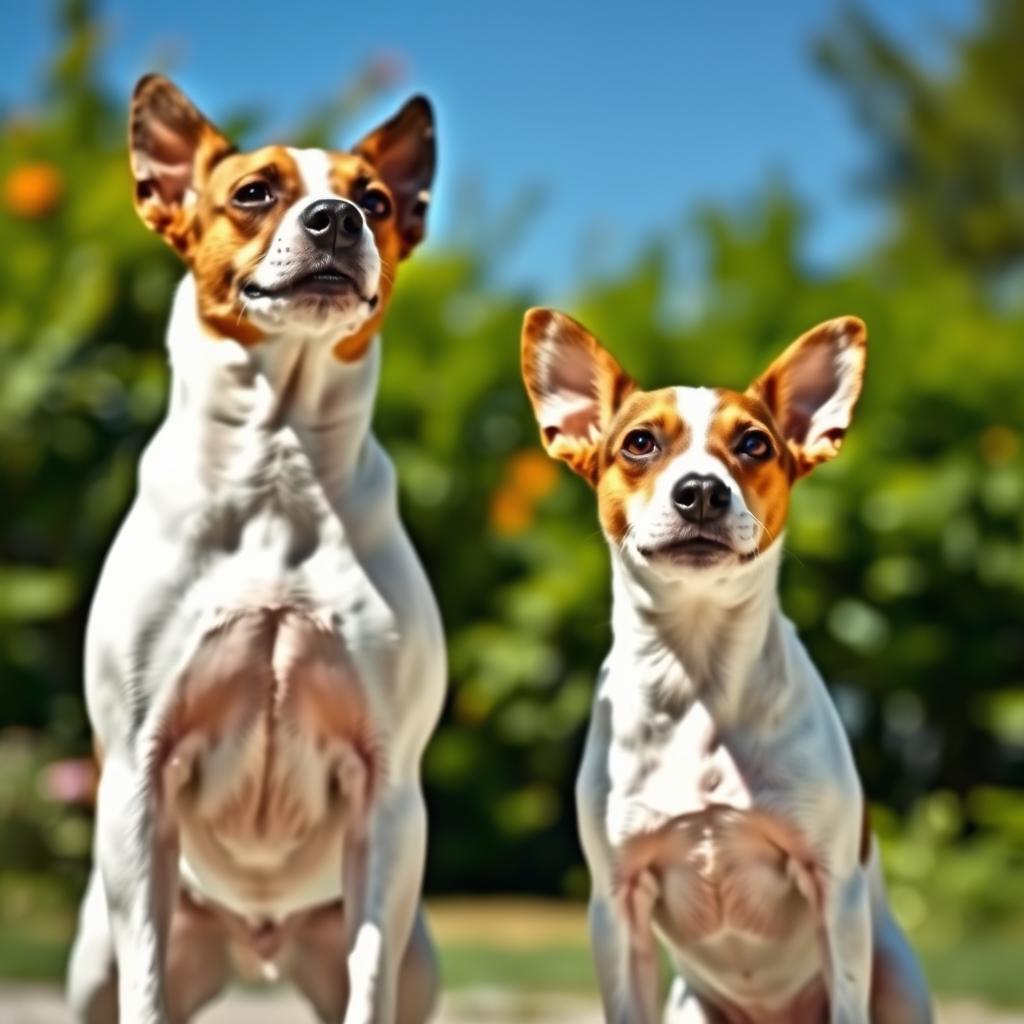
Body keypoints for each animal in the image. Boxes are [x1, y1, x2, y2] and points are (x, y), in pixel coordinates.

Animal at [66, 74, 446, 1024]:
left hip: (418, 959)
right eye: (252, 192)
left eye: (376, 200)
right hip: (92, 958)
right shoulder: (138, 777)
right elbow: (146, 977)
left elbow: (369, 974)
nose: (336, 217)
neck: (279, 467)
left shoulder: (389, 793)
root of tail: (257, 947)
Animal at [524, 311, 933, 1024]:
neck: (699, 673)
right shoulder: (618, 903)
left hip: (898, 980)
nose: (701, 491)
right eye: (639, 443)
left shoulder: (835, 890)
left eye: (753, 444)